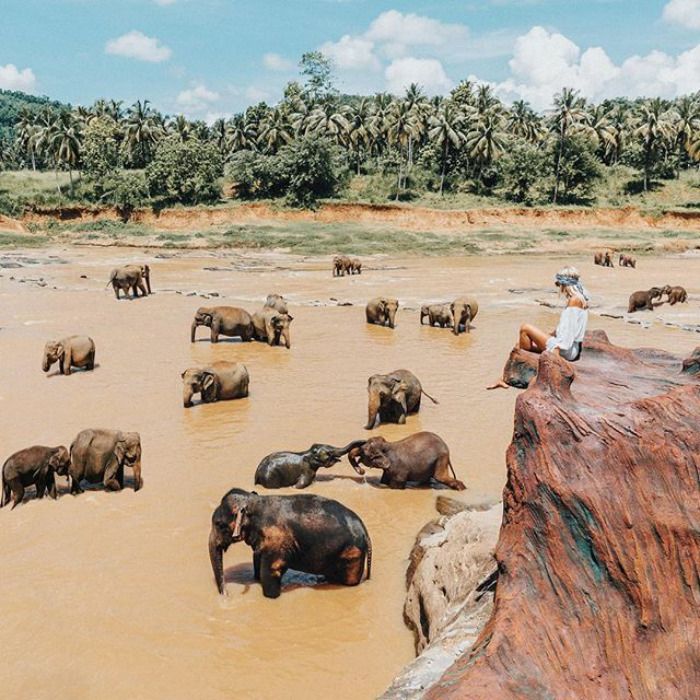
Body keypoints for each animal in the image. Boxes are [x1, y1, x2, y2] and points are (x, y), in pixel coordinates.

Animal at [208, 490, 372, 600]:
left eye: (219, 524)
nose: (226, 595)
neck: (254, 502)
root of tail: (366, 533)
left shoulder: (276, 543)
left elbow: (270, 572)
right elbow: (258, 564)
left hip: (352, 556)